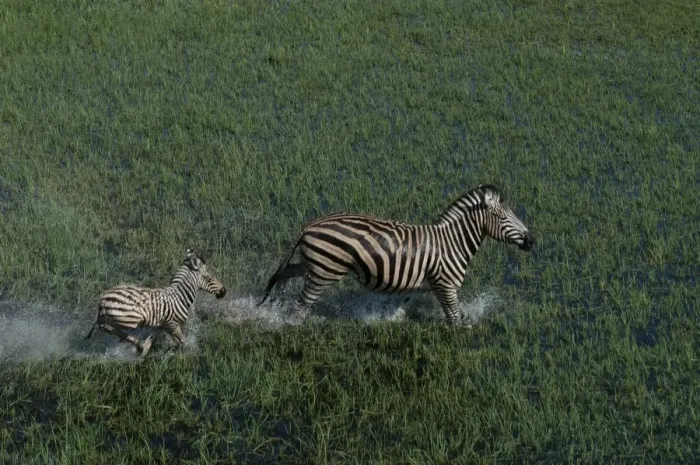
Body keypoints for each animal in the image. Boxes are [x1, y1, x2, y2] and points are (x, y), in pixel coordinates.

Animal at [84, 249, 226, 356]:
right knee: (105, 327)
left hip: (115, 316)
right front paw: (191, 354)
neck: (180, 296)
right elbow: (184, 342)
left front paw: (146, 346)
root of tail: (104, 298)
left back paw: (138, 343)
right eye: (208, 277)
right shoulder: (173, 325)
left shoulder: (162, 326)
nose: (224, 291)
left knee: (105, 325)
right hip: (129, 319)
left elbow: (162, 338)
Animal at [257, 184, 534, 324]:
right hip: (325, 272)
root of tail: (308, 226)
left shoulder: (420, 286)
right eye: (503, 217)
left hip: (313, 265)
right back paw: (292, 326)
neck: (452, 243)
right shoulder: (446, 286)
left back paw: (273, 302)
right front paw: (462, 336)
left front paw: (389, 321)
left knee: (285, 273)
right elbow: (455, 319)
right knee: (301, 306)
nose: (531, 241)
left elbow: (399, 308)